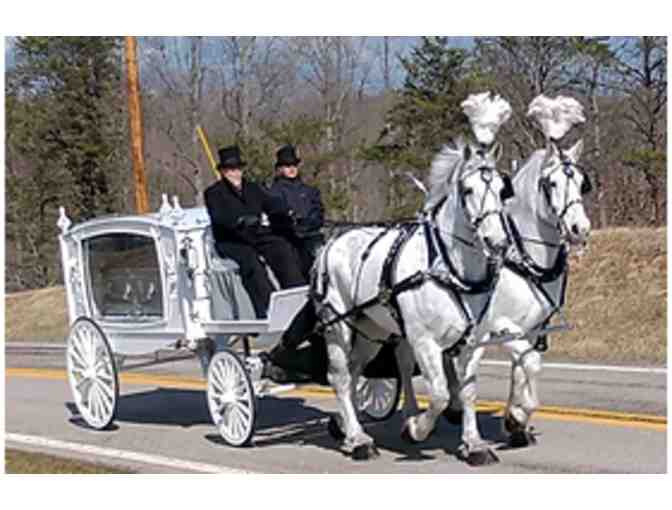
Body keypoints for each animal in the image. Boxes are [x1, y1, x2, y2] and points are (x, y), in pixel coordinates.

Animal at [312, 137, 512, 460]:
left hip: (371, 330)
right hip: (337, 324)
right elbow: (440, 393)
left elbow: (468, 390)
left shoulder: (473, 341)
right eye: (468, 190)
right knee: (340, 377)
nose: (498, 242)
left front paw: (474, 444)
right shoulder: (423, 340)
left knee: (354, 371)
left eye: (501, 188)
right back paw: (359, 439)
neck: (447, 267)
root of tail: (330, 243)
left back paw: (345, 427)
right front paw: (416, 428)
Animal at [440, 136, 592, 462]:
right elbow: (531, 363)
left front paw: (516, 425)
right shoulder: (500, 327)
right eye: (551, 184)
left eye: (581, 182)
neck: (520, 256)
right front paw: (518, 417)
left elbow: (520, 367)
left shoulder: (532, 328)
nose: (580, 229)